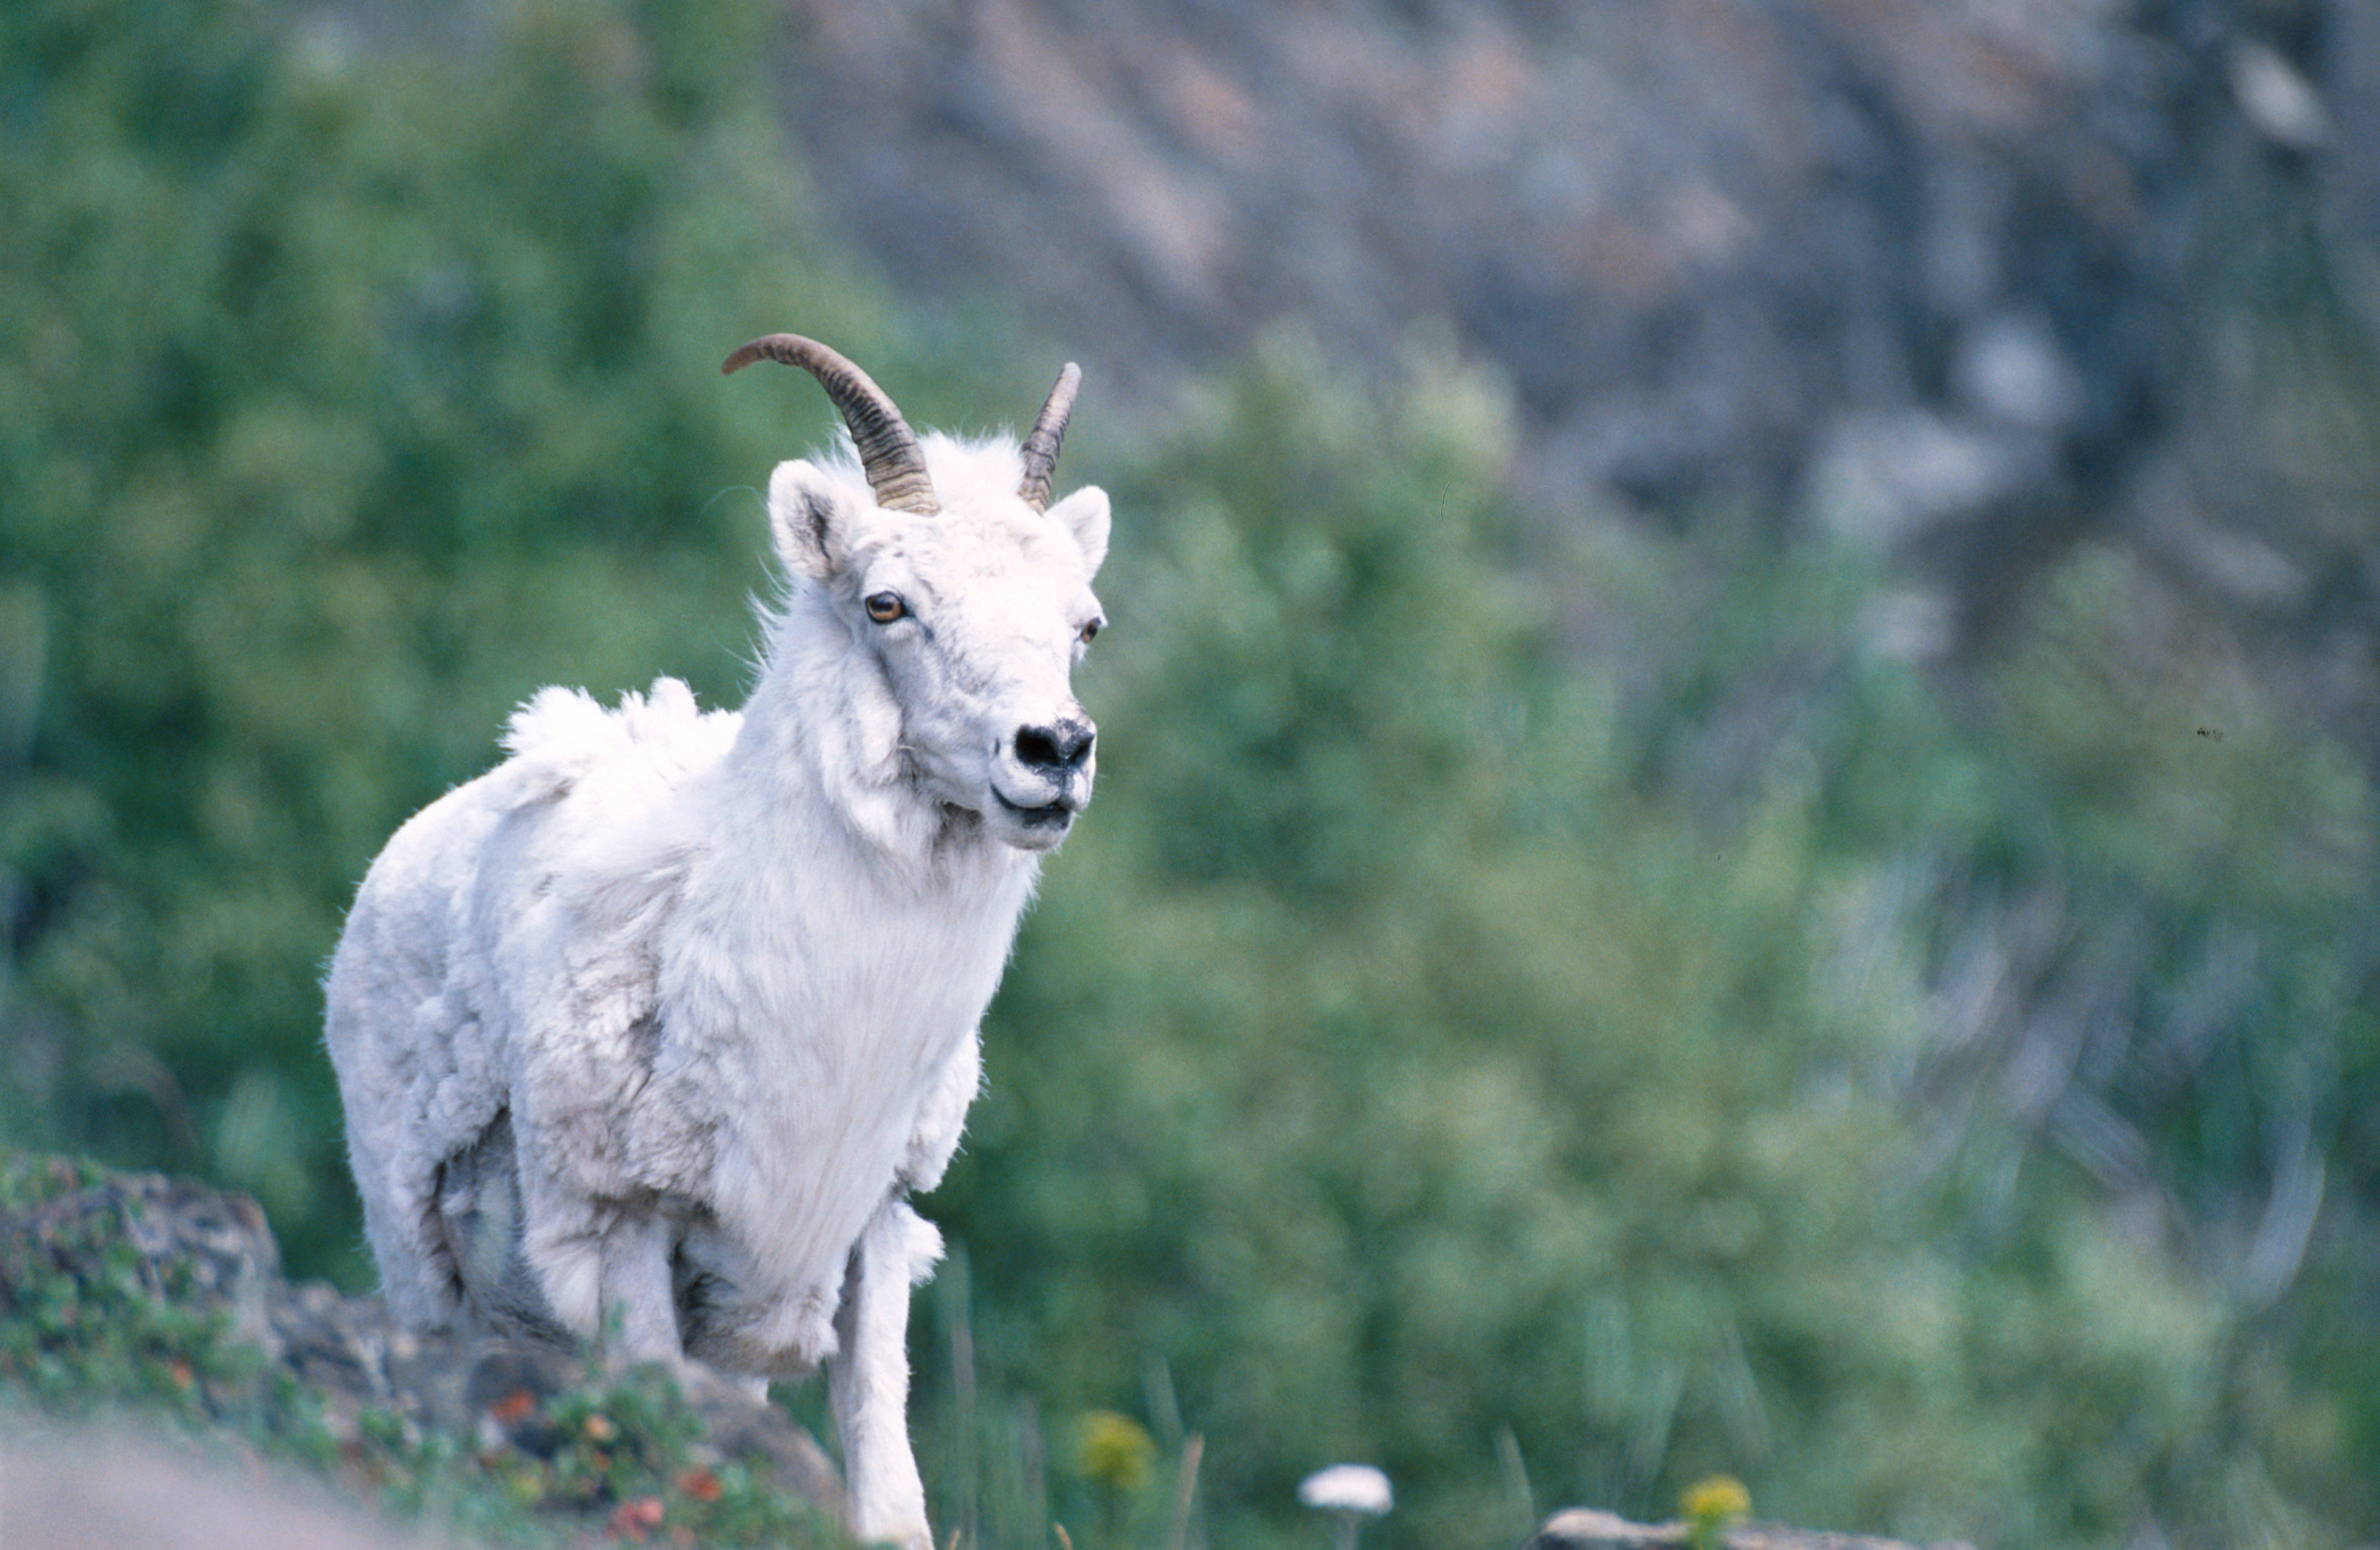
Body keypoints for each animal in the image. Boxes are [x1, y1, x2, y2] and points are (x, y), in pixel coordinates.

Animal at [321, 340, 1108, 1550]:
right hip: (427, 1270)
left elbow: (887, 1495)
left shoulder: (865, 1232)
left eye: (1082, 625)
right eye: (886, 603)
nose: (1053, 750)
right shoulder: (625, 1236)